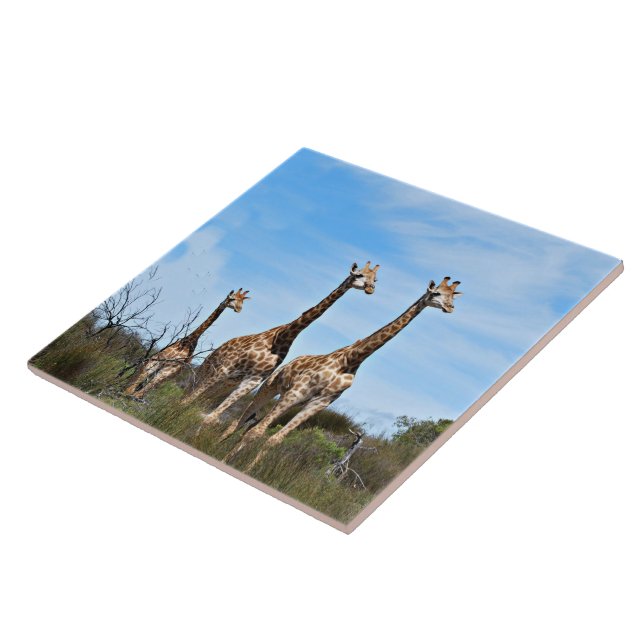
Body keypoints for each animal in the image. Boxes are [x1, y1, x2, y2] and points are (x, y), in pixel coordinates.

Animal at [182, 262, 380, 430]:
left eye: (374, 279)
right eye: (359, 274)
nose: (371, 289)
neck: (283, 338)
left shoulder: (253, 379)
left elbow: (211, 415)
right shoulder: (226, 369)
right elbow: (195, 402)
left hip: (229, 380)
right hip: (211, 369)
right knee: (190, 393)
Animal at [223, 277, 462, 471]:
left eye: (453, 296)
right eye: (436, 293)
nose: (450, 308)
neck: (352, 360)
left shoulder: (318, 403)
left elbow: (274, 439)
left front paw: (248, 469)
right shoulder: (296, 393)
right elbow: (256, 432)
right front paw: (233, 463)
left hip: (287, 397)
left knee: (248, 423)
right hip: (271, 386)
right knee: (240, 420)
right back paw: (220, 446)